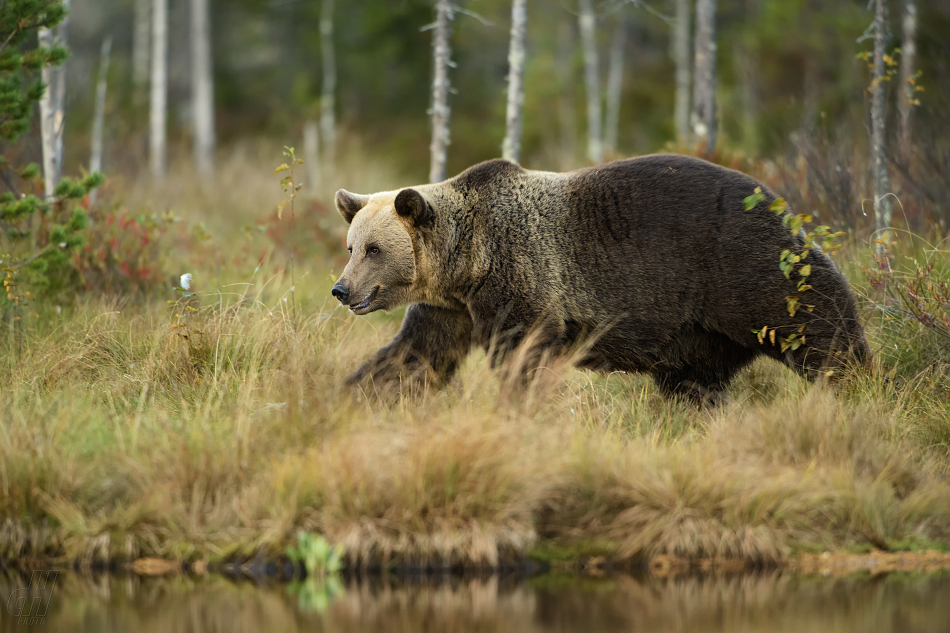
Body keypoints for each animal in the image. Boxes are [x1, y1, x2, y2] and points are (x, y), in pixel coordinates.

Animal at [332, 154, 872, 400]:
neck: (468, 261)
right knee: (693, 383)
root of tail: (781, 202)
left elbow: (523, 351)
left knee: (819, 325)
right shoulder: (452, 307)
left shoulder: (521, 277)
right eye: (351, 247)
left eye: (375, 250)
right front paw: (355, 392)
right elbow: (416, 355)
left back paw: (857, 383)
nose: (342, 289)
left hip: (745, 265)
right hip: (700, 333)